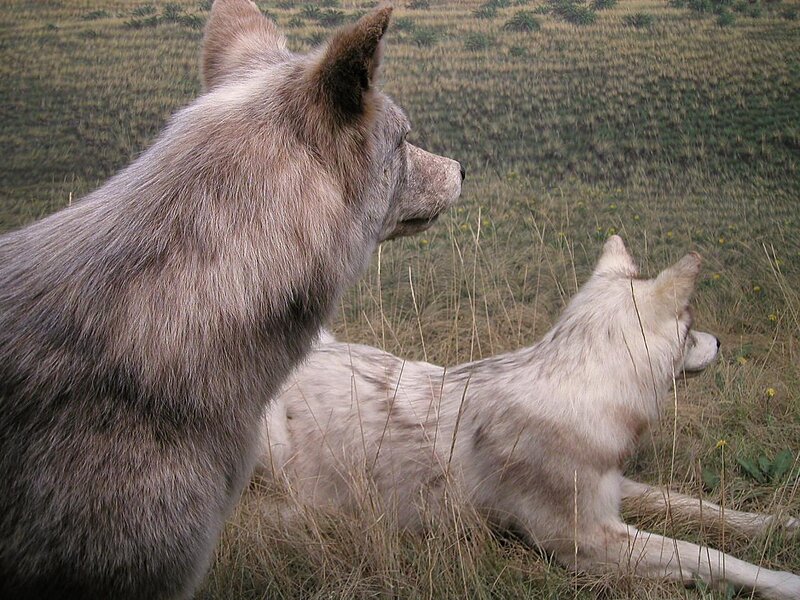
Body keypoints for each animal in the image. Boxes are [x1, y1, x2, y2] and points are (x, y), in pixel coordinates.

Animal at [260, 236, 800, 599]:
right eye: (691, 327)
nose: (720, 342)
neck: (583, 392)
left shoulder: (614, 489)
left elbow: (701, 508)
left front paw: (778, 524)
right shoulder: (587, 543)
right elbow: (708, 554)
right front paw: (783, 580)